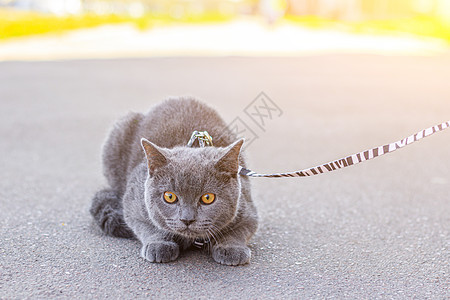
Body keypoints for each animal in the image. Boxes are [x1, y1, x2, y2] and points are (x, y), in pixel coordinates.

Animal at [90, 98, 258, 264]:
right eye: (169, 197)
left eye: (207, 198)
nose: (187, 219)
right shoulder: (133, 204)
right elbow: (147, 225)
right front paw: (159, 245)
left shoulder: (248, 210)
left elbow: (240, 231)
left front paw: (232, 249)